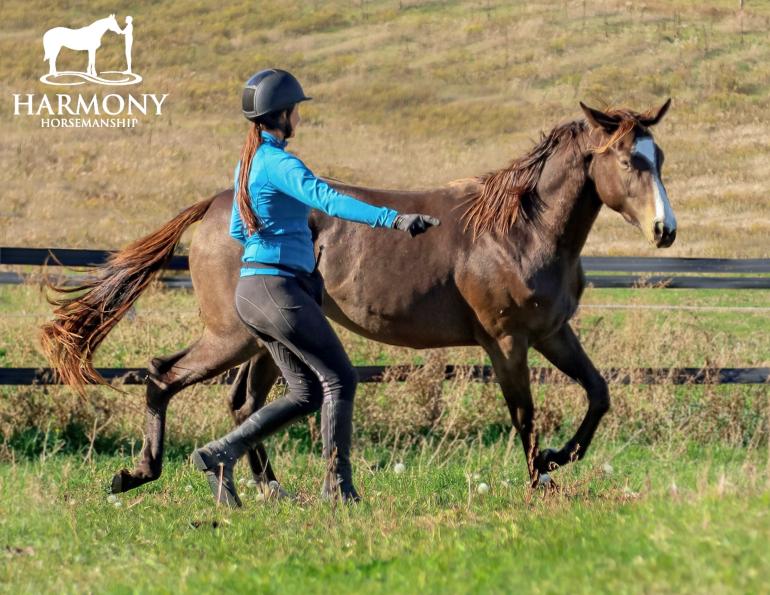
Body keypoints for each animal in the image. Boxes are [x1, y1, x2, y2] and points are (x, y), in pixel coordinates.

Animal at [39, 100, 676, 496]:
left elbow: (598, 394)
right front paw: (539, 479)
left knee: (245, 402)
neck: (519, 231)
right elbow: (524, 413)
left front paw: (556, 461)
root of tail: (221, 203)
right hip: (234, 335)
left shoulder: (552, 333)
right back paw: (139, 474)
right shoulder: (506, 341)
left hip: (265, 342)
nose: (664, 230)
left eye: (660, 158)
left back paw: (267, 488)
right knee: (163, 375)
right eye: (628, 159)